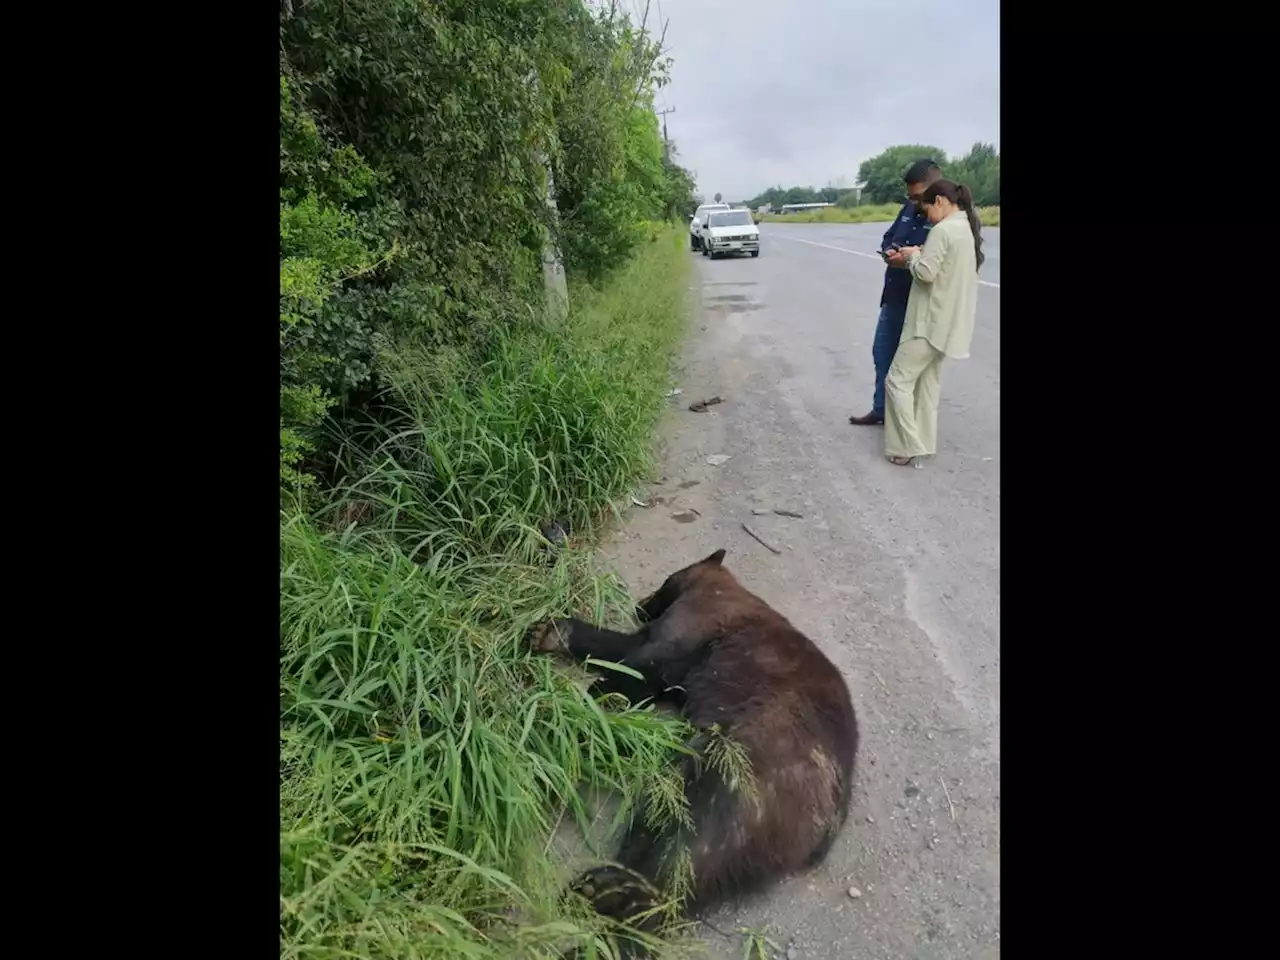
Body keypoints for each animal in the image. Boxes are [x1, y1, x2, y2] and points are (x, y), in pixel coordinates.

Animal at [529, 552, 860, 952]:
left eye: (664, 581)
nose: (641, 604)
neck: (715, 589)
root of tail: (827, 824)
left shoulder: (672, 643)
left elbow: (627, 667)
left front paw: (584, 708)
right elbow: (618, 653)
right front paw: (552, 635)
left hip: (721, 789)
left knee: (669, 872)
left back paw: (603, 901)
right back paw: (598, 890)